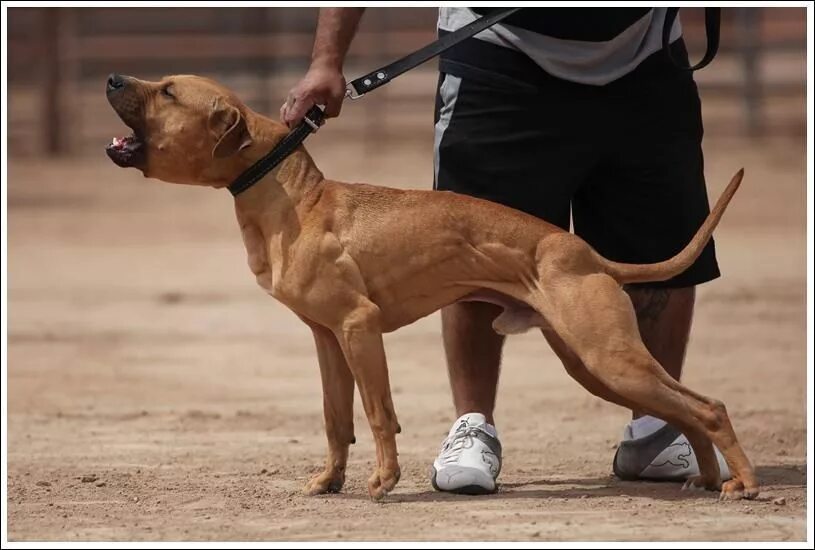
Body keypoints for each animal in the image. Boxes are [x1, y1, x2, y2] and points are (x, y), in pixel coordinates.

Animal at [105, 74, 760, 504]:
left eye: (167, 92)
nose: (113, 77)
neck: (289, 194)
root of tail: (587, 253)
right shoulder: (327, 339)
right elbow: (335, 419)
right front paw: (329, 481)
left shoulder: (359, 327)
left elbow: (377, 413)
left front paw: (383, 482)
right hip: (593, 364)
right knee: (688, 411)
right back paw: (710, 480)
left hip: (610, 357)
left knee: (708, 406)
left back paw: (745, 484)